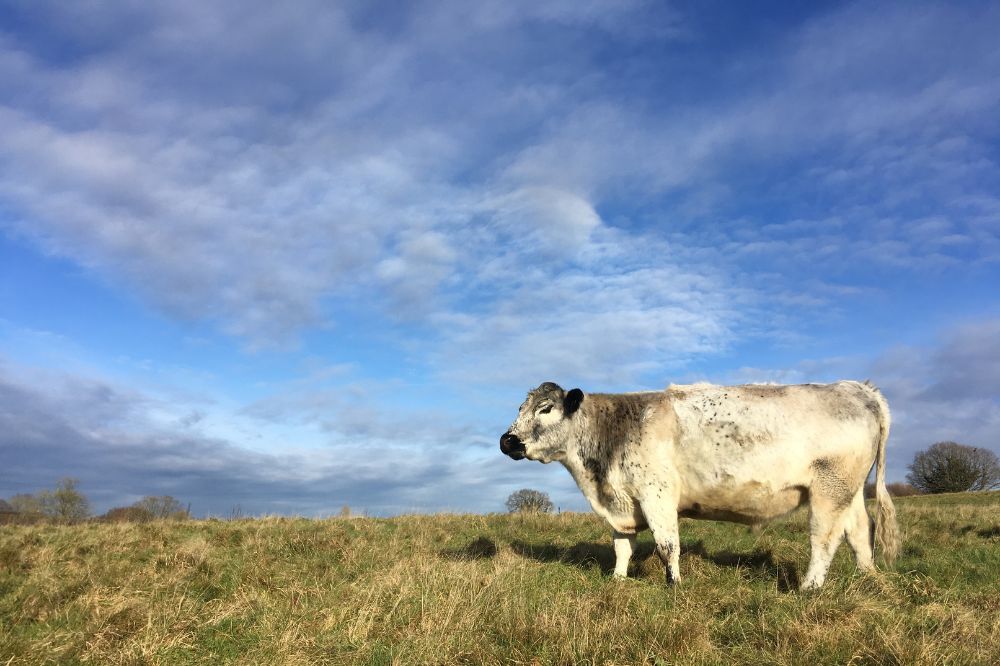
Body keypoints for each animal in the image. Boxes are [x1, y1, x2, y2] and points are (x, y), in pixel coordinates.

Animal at [500, 378, 900, 588]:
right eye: (519, 409)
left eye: (545, 409)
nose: (507, 441)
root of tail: (857, 388)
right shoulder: (622, 502)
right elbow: (622, 548)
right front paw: (618, 580)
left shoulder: (656, 494)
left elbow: (667, 546)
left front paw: (673, 584)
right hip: (850, 492)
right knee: (860, 532)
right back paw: (868, 577)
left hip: (829, 490)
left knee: (824, 539)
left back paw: (808, 588)